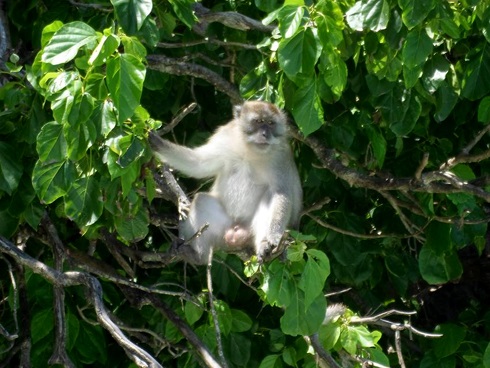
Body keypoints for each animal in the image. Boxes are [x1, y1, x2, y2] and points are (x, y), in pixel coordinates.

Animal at [149, 100, 302, 264]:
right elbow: (198, 164)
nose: (265, 134)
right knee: (201, 200)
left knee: (269, 196)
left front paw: (273, 238)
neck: (250, 150)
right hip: (223, 227)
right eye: (259, 121)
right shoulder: (224, 137)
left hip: (250, 230)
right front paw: (156, 142)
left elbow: (281, 193)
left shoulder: (281, 157)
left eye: (271, 123)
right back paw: (196, 256)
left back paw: (265, 247)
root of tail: (236, 231)